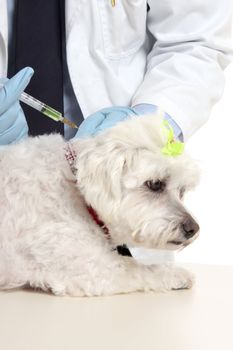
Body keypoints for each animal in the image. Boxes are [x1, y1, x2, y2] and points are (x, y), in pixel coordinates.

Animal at [0, 115, 200, 296]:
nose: (193, 228)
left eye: (182, 190)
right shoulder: (92, 268)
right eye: (155, 184)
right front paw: (177, 274)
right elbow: (139, 267)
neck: (74, 186)